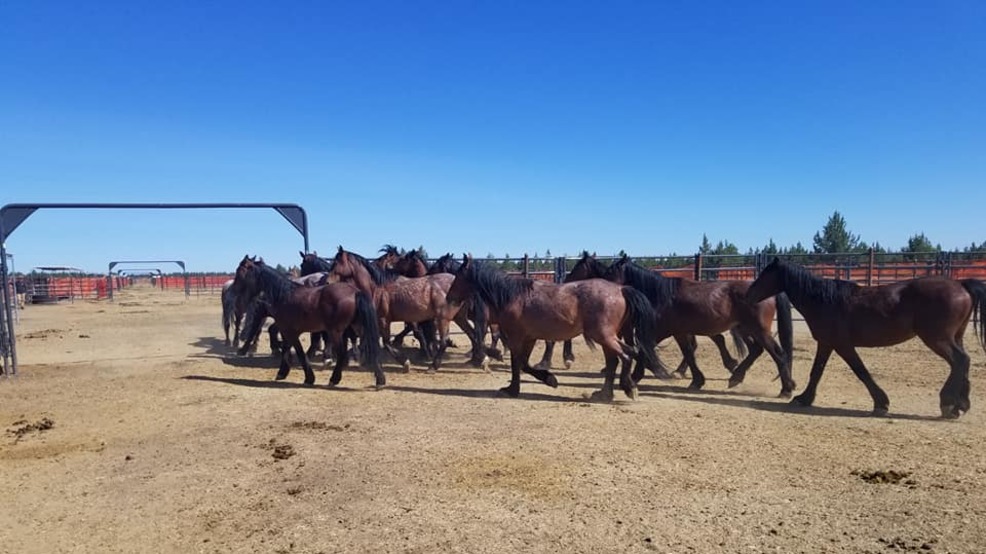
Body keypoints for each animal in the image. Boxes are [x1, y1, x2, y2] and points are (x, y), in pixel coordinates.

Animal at [233, 256, 386, 387]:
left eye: (240, 273)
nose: (236, 297)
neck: (284, 295)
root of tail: (355, 292)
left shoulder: (291, 332)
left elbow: (300, 353)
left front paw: (309, 378)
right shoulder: (287, 331)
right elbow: (286, 350)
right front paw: (282, 372)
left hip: (336, 332)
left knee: (342, 354)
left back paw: (334, 379)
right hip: (358, 327)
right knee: (370, 347)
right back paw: (380, 379)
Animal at [328, 247, 463, 372]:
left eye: (336, 262)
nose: (328, 281)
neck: (377, 289)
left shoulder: (383, 320)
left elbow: (386, 343)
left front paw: (405, 363)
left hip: (443, 319)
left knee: (444, 342)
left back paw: (433, 366)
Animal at [446, 255, 660, 400]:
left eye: (458, 276)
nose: (448, 297)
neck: (513, 296)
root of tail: (621, 289)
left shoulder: (516, 337)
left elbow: (517, 363)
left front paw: (513, 389)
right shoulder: (529, 337)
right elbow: (523, 363)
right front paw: (549, 379)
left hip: (604, 336)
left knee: (626, 355)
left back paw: (628, 387)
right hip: (607, 337)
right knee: (618, 359)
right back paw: (604, 393)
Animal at [605, 254, 796, 397]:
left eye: (609, 273)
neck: (662, 295)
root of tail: (772, 293)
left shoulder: (665, 331)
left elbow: (648, 351)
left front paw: (634, 377)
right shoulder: (678, 332)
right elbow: (688, 353)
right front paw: (697, 380)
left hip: (759, 330)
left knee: (778, 354)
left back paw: (785, 389)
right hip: (746, 329)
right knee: (756, 350)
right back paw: (737, 377)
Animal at [747, 257, 986, 418]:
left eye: (766, 274)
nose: (749, 294)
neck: (824, 300)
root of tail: (961, 285)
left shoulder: (842, 345)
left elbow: (860, 371)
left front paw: (881, 403)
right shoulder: (826, 343)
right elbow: (817, 372)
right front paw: (804, 398)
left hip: (937, 338)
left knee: (960, 360)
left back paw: (948, 404)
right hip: (954, 337)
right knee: (963, 362)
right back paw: (960, 405)